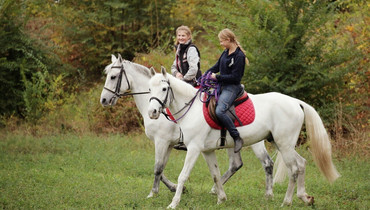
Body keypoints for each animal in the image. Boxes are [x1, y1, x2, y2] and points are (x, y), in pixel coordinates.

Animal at [99, 54, 276, 199]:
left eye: (113, 77)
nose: (104, 100)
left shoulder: (161, 141)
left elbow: (157, 168)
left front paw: (154, 192)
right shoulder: (168, 144)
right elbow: (161, 168)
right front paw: (176, 188)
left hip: (254, 142)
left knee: (266, 163)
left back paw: (267, 193)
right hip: (231, 143)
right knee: (236, 164)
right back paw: (215, 189)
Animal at [146, 67, 340, 208]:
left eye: (164, 88)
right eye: (149, 89)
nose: (152, 112)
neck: (191, 109)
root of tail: (295, 102)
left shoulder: (193, 148)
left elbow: (182, 175)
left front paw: (173, 203)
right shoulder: (207, 151)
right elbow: (215, 175)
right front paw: (221, 199)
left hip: (284, 145)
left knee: (293, 169)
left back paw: (286, 201)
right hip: (282, 144)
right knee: (301, 164)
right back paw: (304, 197)